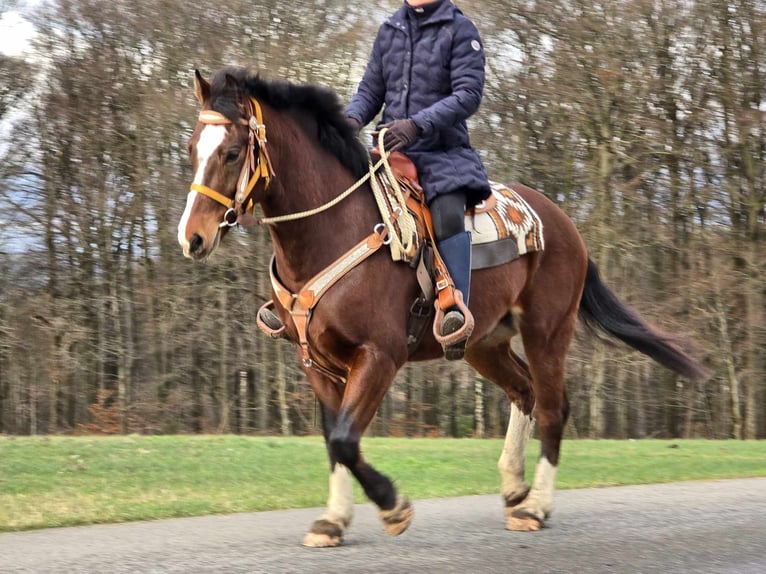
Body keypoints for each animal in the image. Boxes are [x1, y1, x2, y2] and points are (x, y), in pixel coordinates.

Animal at [178, 67, 708, 548]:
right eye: (192, 149)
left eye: (231, 152)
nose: (192, 238)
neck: (334, 230)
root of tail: (562, 221)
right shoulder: (316, 362)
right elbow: (334, 441)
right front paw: (333, 520)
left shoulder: (380, 355)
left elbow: (346, 439)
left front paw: (392, 506)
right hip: (483, 343)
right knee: (523, 392)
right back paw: (515, 490)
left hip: (547, 332)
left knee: (554, 407)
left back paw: (535, 506)